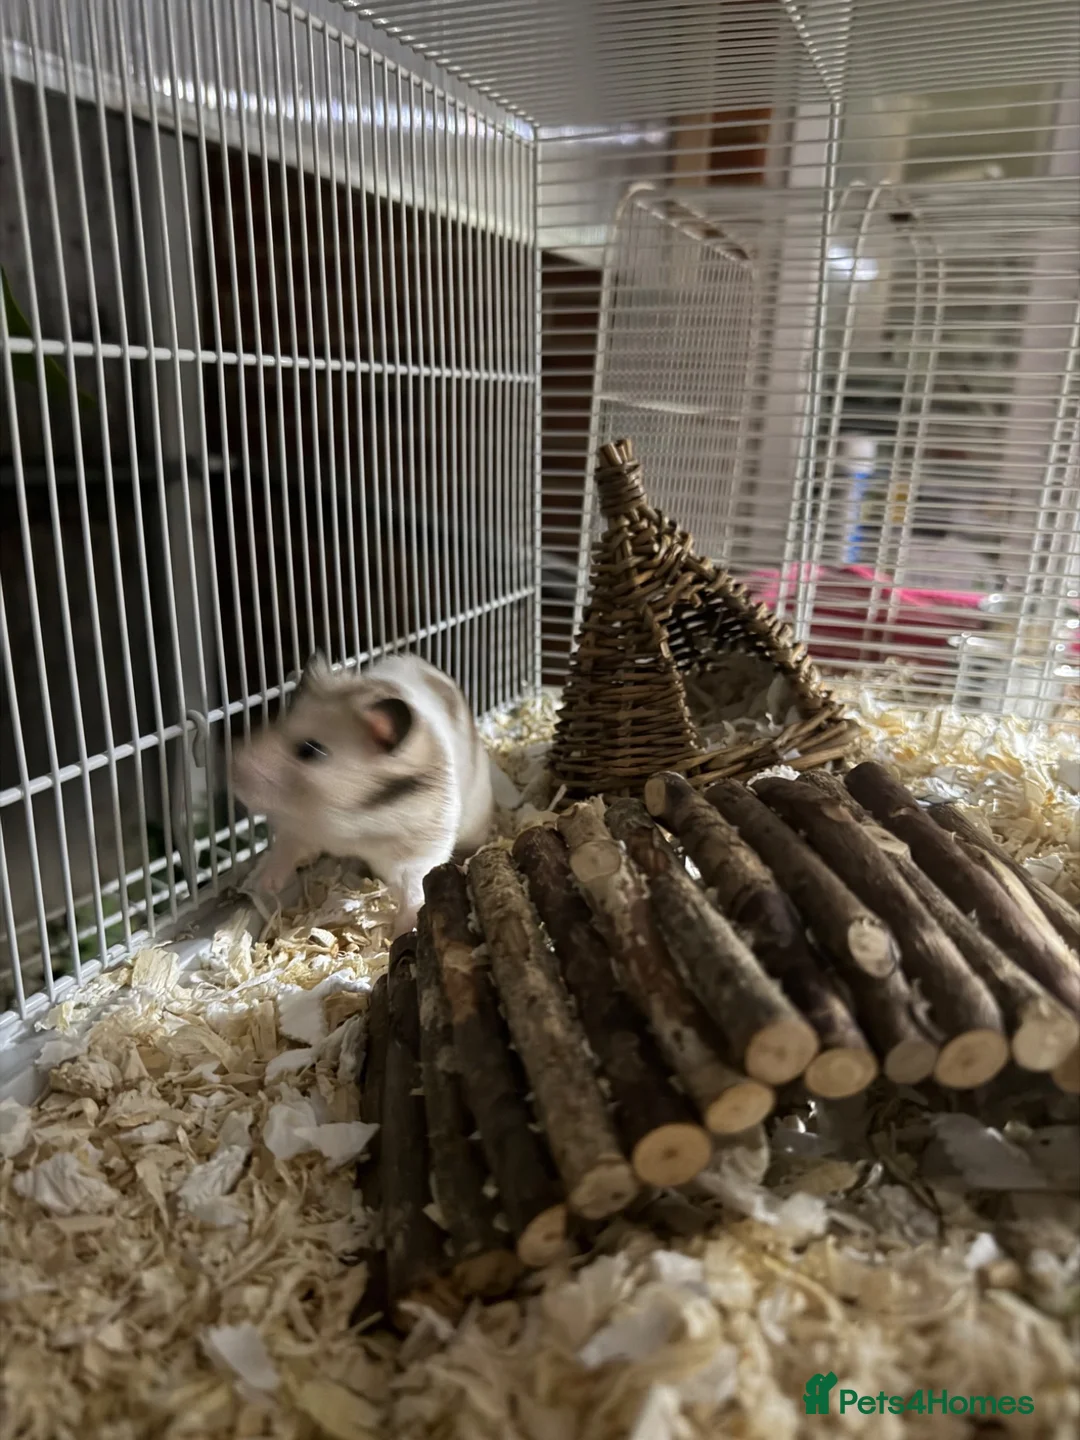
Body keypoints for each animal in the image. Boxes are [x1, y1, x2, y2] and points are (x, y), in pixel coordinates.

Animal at [233, 651, 495, 937]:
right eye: (279, 723)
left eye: (310, 750)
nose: (232, 774)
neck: (353, 817)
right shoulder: (300, 827)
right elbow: (286, 850)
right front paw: (266, 884)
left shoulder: (420, 852)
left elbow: (415, 890)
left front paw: (402, 932)